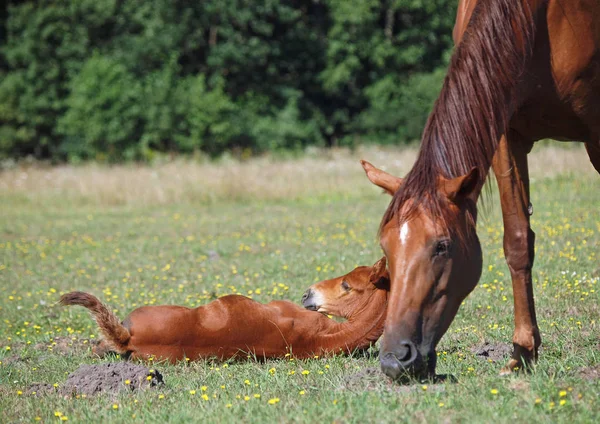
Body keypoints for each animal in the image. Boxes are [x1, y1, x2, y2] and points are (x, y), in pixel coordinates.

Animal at [370, 0, 600, 380]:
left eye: (442, 246)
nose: (394, 360)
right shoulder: (506, 134)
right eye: (386, 248)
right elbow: (518, 241)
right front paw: (523, 352)